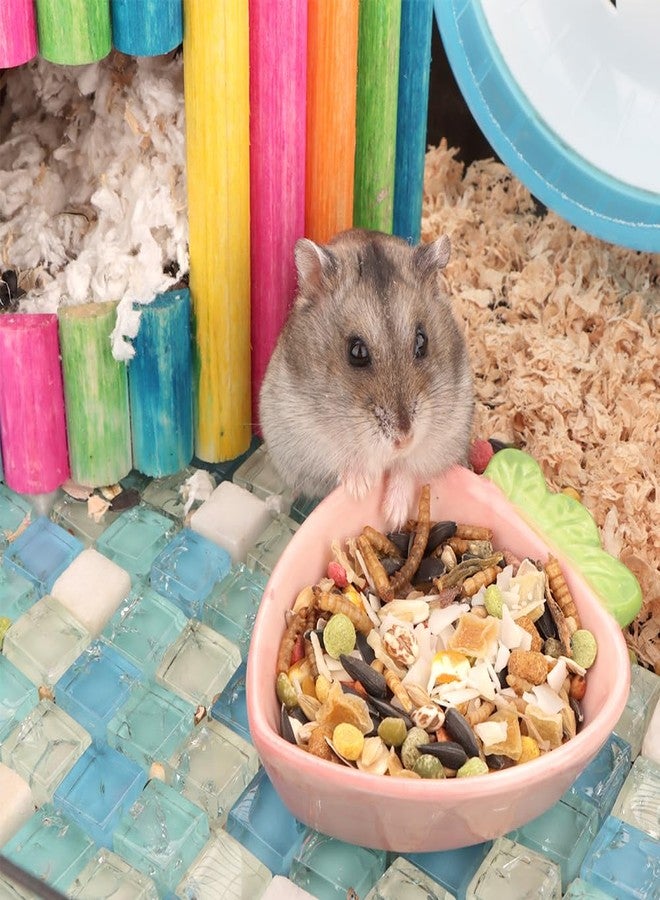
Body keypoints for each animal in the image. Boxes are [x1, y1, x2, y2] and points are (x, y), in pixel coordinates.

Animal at [259, 228, 474, 527]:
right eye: (356, 351)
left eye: (422, 341)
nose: (403, 440)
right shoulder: (306, 435)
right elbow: (342, 456)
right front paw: (360, 489)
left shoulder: (445, 436)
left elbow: (407, 469)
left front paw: (394, 516)